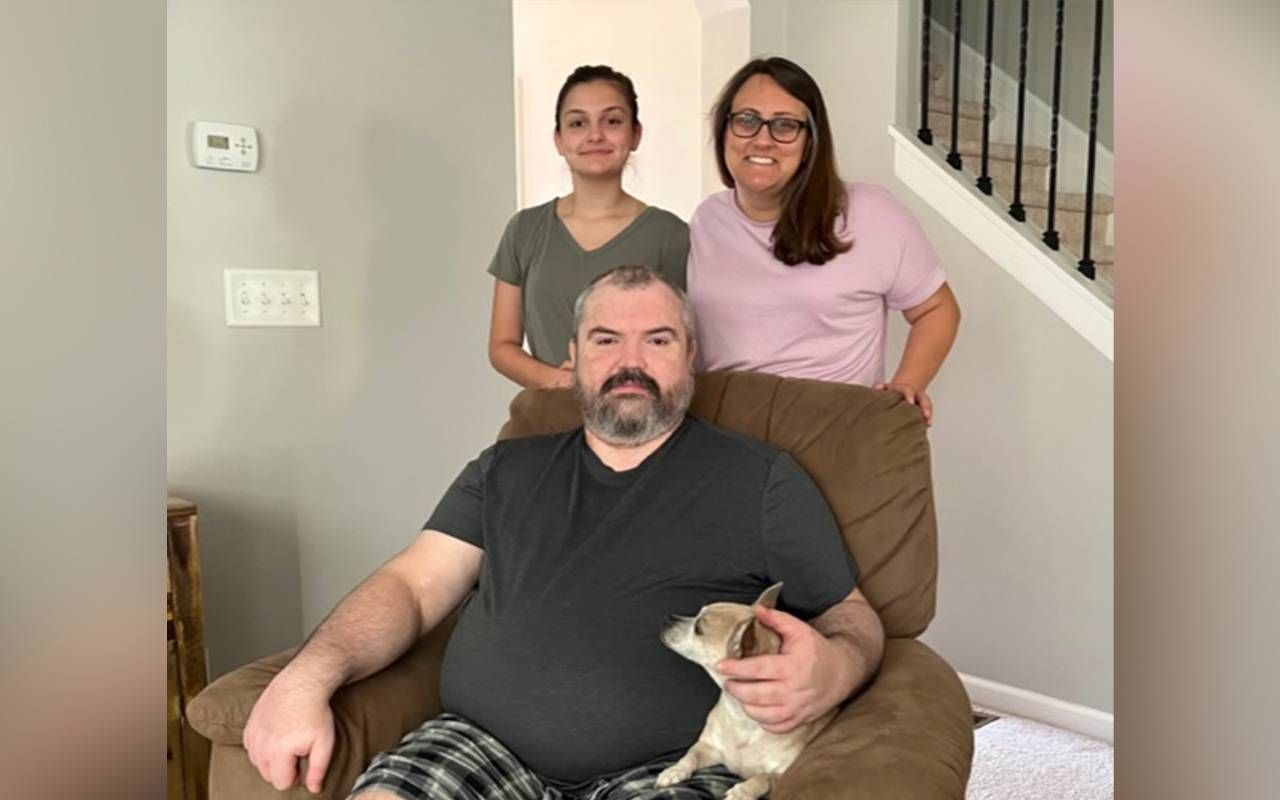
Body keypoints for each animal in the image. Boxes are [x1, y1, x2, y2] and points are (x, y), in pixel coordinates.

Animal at [655, 581, 834, 798]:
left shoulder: (781, 774)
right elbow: (690, 755)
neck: (740, 716)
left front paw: (741, 792)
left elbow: (763, 778)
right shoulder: (707, 747)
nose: (667, 617)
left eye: (698, 628)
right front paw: (674, 770)